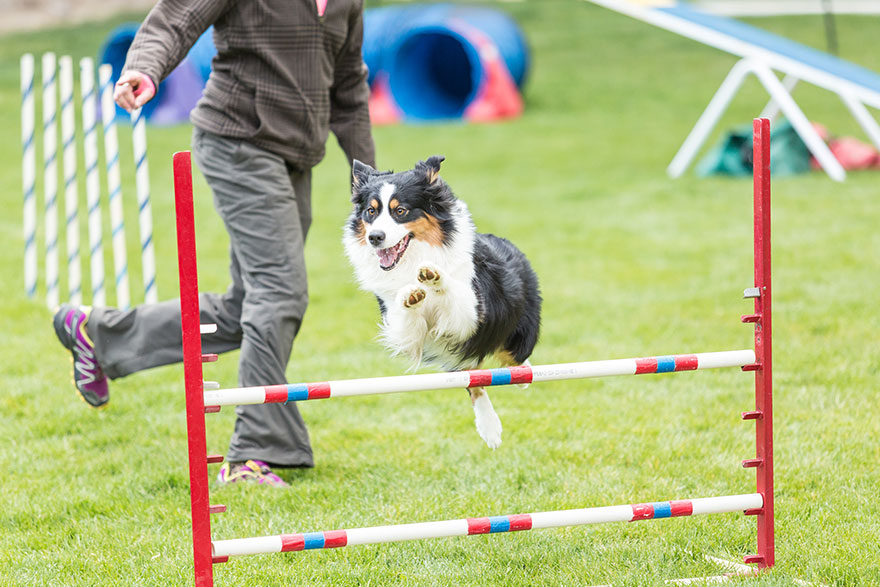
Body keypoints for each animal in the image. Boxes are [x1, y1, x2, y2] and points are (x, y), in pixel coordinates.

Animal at [346, 156, 544, 450]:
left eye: (401, 211)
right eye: (371, 212)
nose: (375, 237)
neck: (414, 257)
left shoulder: (472, 314)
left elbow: (452, 292)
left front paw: (433, 275)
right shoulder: (402, 328)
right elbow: (405, 317)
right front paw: (411, 295)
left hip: (515, 334)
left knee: (514, 359)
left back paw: (520, 379)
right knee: (474, 380)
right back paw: (490, 428)